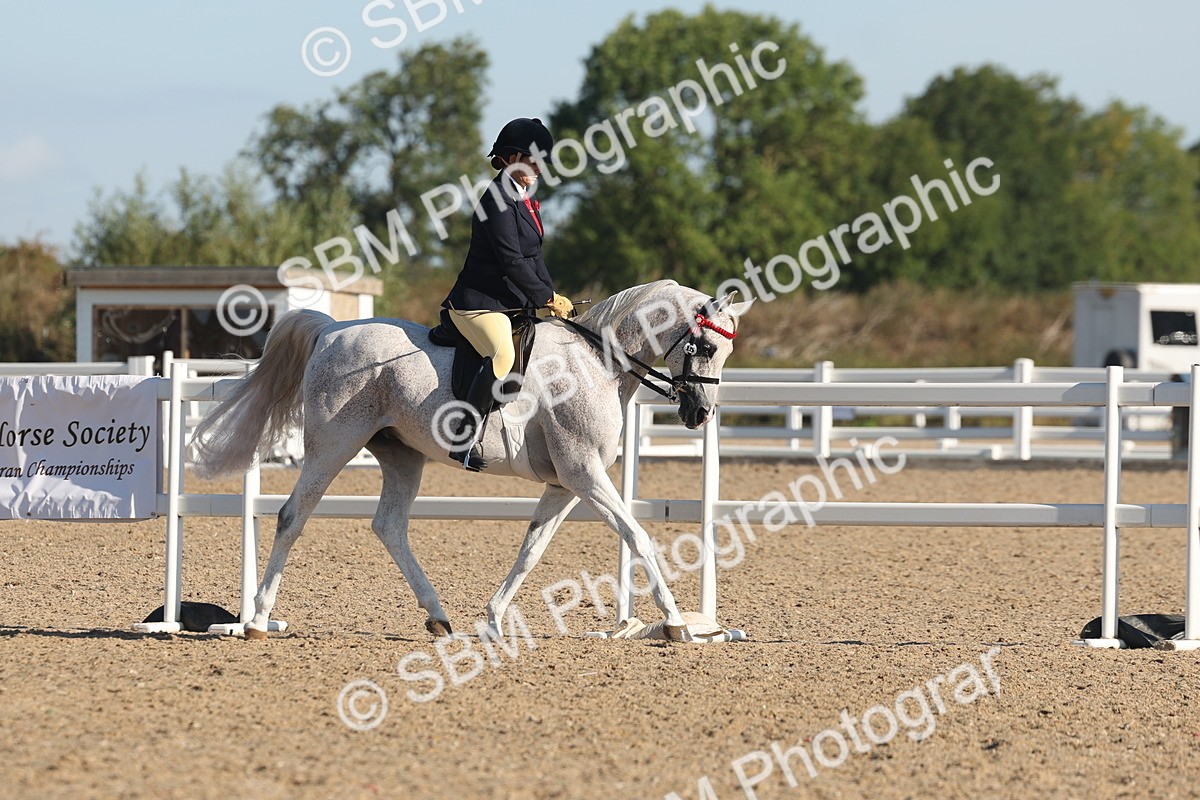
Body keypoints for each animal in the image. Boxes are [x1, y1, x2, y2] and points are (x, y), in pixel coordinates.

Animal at [190, 279, 752, 640]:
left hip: (401, 455)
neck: (598, 364)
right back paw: (257, 620)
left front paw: (493, 619)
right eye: (704, 346)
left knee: (388, 525)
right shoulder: (584, 473)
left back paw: (438, 616)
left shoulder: (565, 483)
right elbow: (637, 535)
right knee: (292, 516)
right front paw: (676, 623)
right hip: (333, 444)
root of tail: (332, 330)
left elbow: (531, 550)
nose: (700, 414)